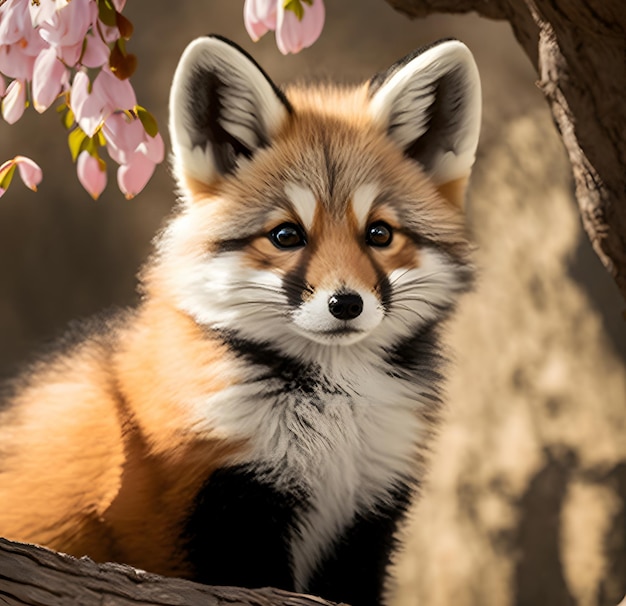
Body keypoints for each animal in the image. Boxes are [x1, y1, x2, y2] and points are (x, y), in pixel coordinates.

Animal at [0, 36, 480, 606]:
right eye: (286, 235)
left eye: (379, 234)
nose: (346, 304)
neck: (334, 424)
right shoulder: (226, 504)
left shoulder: (368, 516)